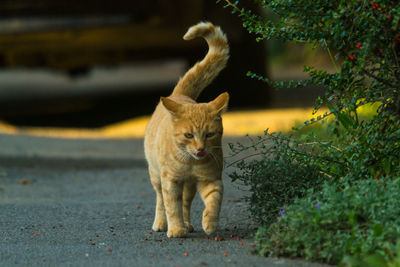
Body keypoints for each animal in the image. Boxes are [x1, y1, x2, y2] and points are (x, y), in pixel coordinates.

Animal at [144, 22, 228, 238]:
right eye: (189, 135)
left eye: (209, 135)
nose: (200, 149)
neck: (190, 162)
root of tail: (179, 94)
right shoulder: (170, 181)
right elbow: (171, 206)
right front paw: (175, 229)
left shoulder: (211, 179)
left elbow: (214, 201)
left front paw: (210, 222)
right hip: (156, 175)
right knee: (160, 200)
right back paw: (161, 223)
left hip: (189, 186)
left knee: (186, 203)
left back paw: (188, 224)